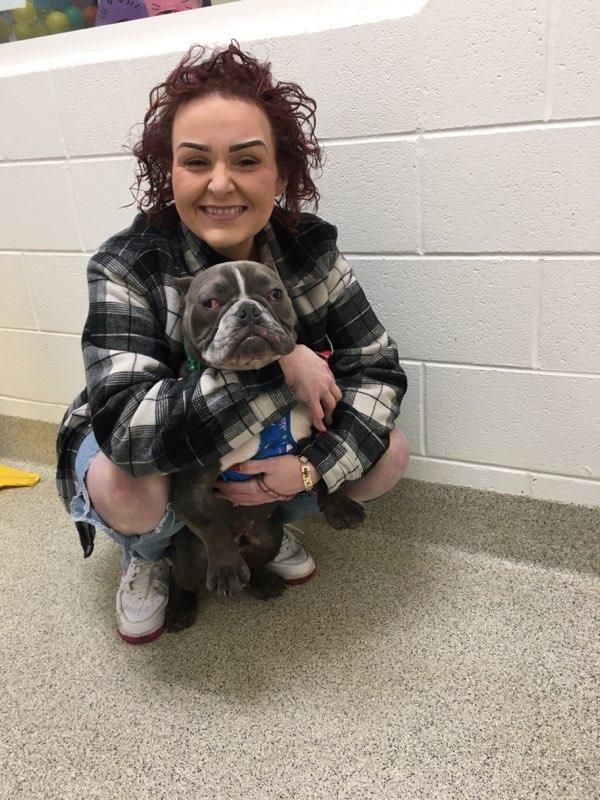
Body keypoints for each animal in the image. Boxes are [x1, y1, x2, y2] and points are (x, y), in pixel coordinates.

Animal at [166, 260, 365, 632]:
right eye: (210, 302)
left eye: (275, 293)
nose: (248, 311)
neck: (257, 381)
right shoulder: (188, 484)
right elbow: (210, 522)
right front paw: (226, 571)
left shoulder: (317, 425)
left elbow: (325, 465)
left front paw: (340, 507)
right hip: (188, 556)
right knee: (183, 579)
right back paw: (181, 607)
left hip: (269, 536)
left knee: (258, 559)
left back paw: (263, 581)